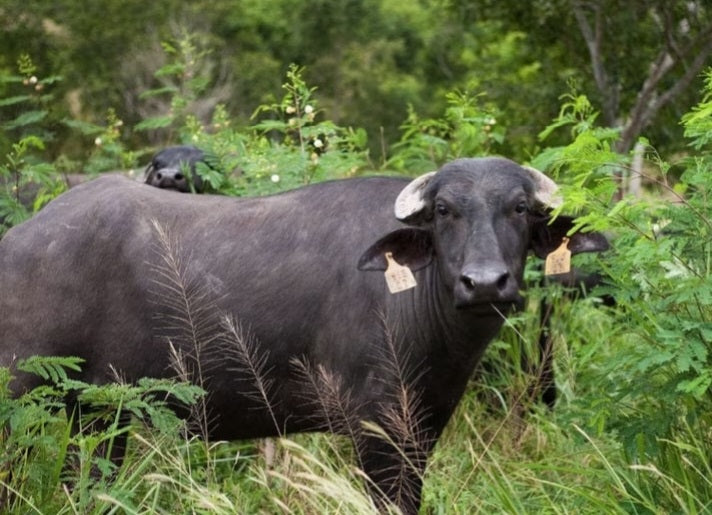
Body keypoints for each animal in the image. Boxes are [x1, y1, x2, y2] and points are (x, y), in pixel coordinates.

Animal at [1, 156, 612, 512]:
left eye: (519, 208)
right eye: (443, 210)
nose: (485, 282)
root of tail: (20, 239)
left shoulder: (423, 428)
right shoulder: (376, 431)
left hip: (99, 412)